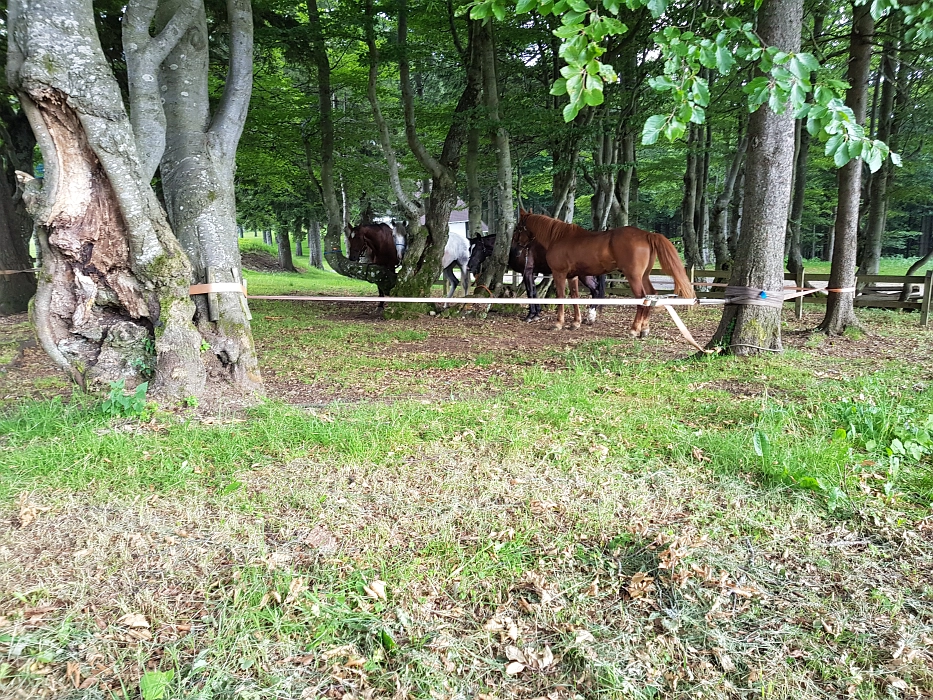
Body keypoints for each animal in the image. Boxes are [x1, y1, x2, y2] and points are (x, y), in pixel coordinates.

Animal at [466, 234, 604, 324]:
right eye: (469, 249)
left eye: (478, 248)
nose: (469, 266)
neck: (519, 248)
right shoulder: (532, 274)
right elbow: (534, 292)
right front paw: (536, 314)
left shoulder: (527, 272)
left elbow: (530, 292)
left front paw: (530, 316)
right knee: (595, 290)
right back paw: (591, 317)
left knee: (595, 290)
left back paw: (590, 316)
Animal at [512, 211, 696, 336]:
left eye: (518, 227)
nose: (515, 249)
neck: (559, 238)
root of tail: (646, 234)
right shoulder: (573, 276)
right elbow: (574, 298)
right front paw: (575, 323)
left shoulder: (559, 274)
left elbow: (561, 298)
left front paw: (558, 323)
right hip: (644, 277)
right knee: (651, 296)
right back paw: (644, 329)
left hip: (633, 277)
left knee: (641, 299)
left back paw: (634, 329)